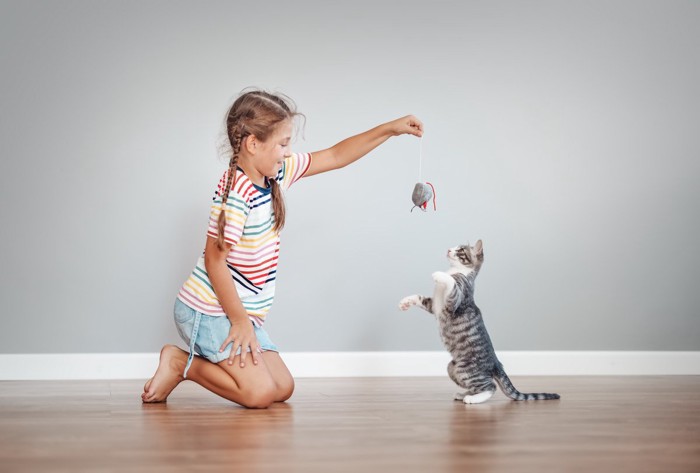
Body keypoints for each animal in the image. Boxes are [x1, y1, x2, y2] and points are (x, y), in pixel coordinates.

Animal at [400, 242, 556, 404]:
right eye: (454, 246)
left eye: (460, 250)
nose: (449, 250)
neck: (455, 270)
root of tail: (496, 363)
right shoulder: (434, 306)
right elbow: (419, 297)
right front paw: (405, 302)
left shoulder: (454, 302)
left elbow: (452, 283)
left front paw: (440, 275)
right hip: (452, 368)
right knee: (478, 387)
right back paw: (464, 394)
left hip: (466, 369)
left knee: (491, 386)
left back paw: (473, 399)